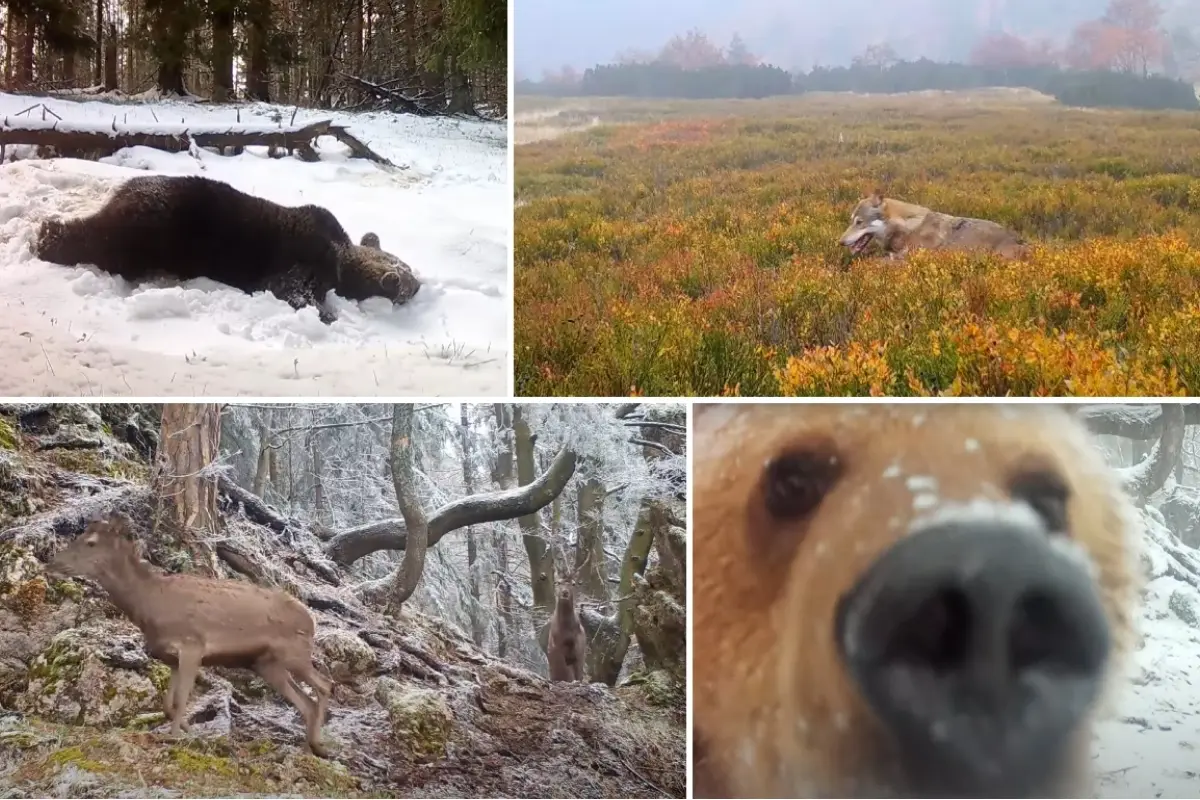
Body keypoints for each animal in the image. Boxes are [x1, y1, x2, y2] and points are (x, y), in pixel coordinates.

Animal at [46, 513, 333, 758]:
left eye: (91, 542)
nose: (52, 563)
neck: (150, 605)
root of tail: (311, 620)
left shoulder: (192, 645)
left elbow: (182, 698)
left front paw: (174, 738)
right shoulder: (170, 657)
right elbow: (168, 704)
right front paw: (190, 731)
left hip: (294, 652)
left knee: (324, 685)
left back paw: (319, 745)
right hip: (265, 664)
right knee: (306, 701)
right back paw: (308, 747)